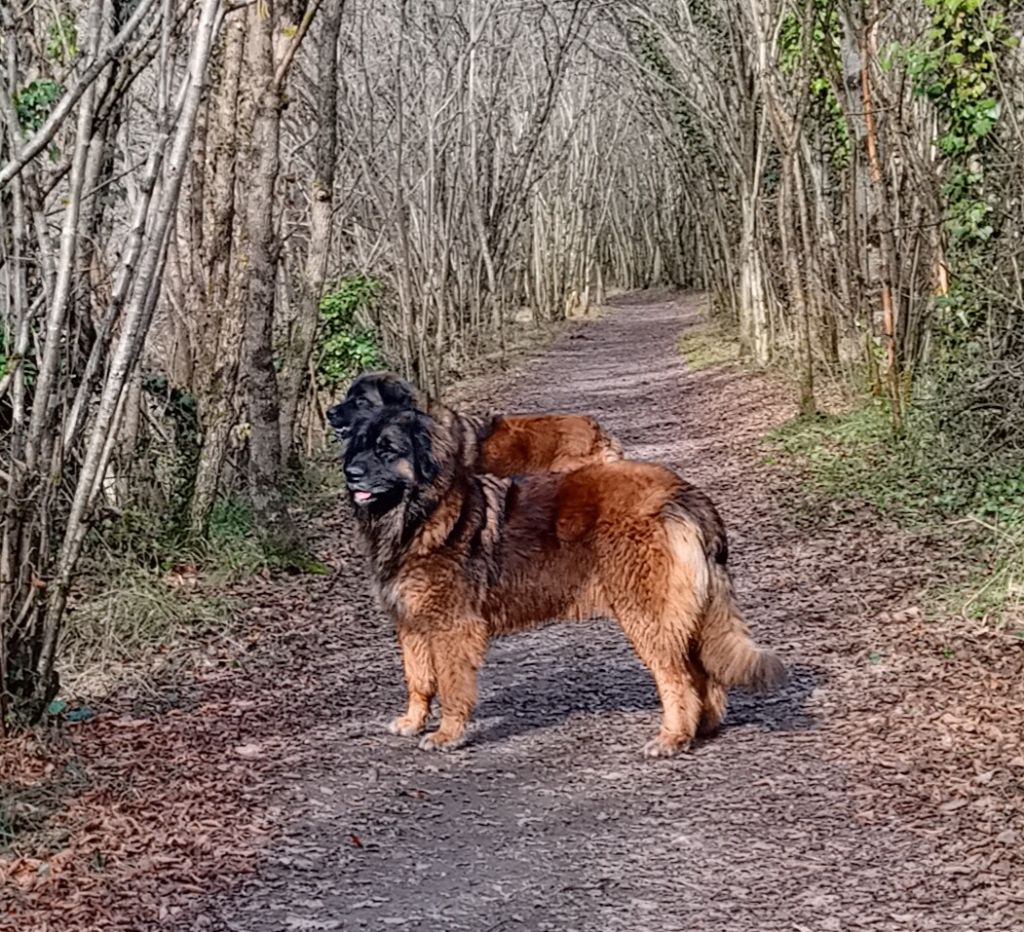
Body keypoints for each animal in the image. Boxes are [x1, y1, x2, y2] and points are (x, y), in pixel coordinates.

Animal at [344, 401, 782, 757]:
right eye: (357, 446)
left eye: (387, 449)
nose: (351, 474)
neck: (419, 515)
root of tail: (681, 492)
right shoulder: (411, 623)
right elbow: (418, 679)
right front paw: (413, 721)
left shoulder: (453, 627)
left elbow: (451, 685)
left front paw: (448, 734)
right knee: (702, 674)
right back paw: (700, 728)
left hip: (647, 615)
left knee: (678, 678)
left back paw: (672, 737)